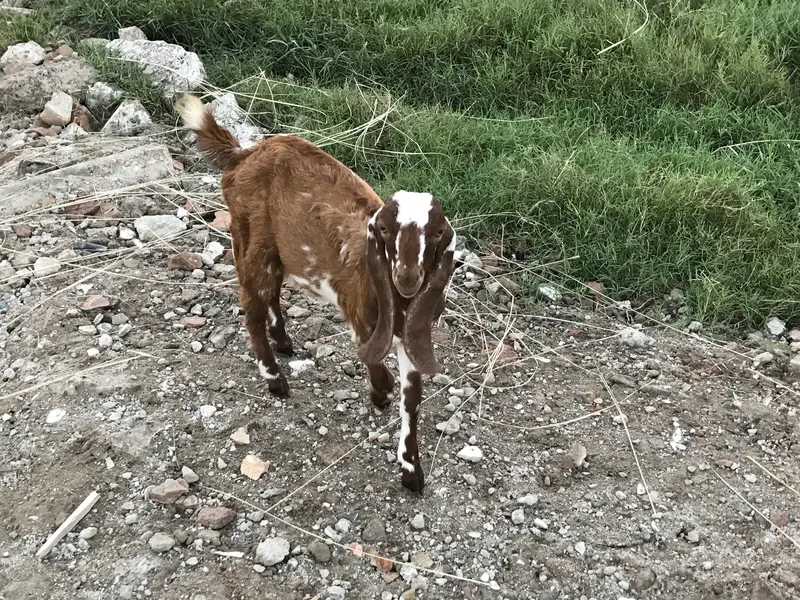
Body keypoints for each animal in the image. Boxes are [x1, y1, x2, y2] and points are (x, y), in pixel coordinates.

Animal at [175, 94, 456, 493]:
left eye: (437, 233)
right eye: (384, 229)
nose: (407, 277)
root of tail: (245, 154)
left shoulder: (413, 335)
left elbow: (412, 401)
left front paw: (411, 470)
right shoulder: (359, 312)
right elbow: (375, 363)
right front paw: (380, 393)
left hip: (276, 250)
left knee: (271, 294)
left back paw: (283, 342)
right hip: (250, 237)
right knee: (252, 305)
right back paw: (274, 378)